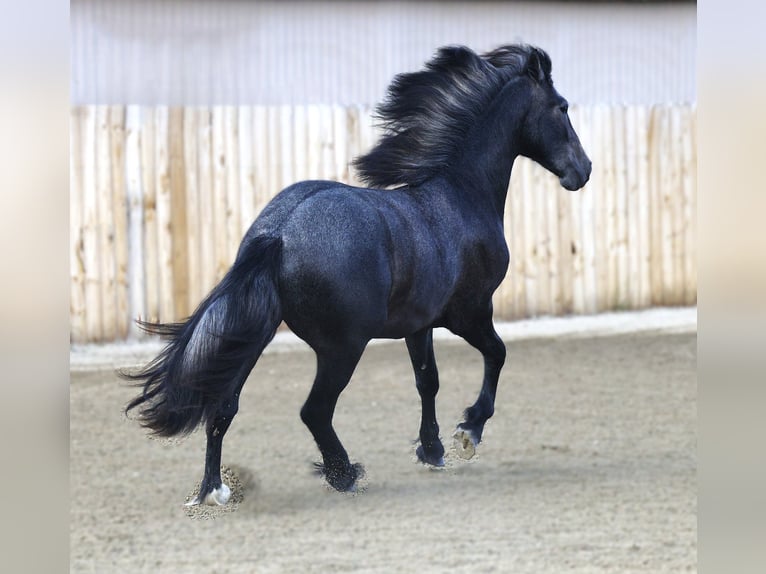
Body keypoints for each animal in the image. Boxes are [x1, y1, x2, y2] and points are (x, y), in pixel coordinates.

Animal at [124, 44, 591, 505]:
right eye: (562, 107)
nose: (583, 170)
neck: (462, 194)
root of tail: (278, 233)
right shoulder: (471, 312)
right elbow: (497, 354)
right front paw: (468, 432)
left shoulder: (418, 325)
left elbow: (428, 381)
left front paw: (432, 449)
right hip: (342, 347)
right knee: (314, 410)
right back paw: (344, 474)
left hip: (253, 335)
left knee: (223, 405)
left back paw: (212, 491)